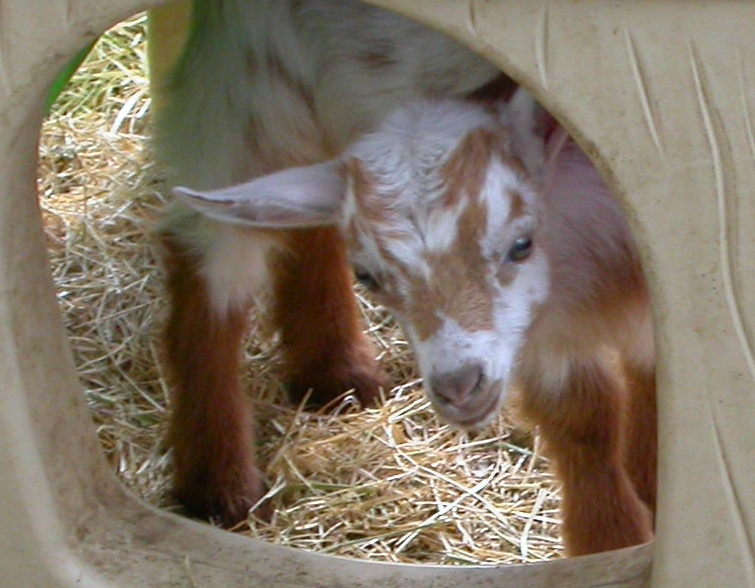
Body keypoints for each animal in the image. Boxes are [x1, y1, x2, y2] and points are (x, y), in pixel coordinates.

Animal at [175, 89, 657, 556]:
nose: (459, 387)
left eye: (522, 244)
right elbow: (584, 419)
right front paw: (613, 541)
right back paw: (221, 485)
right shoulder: (549, 331)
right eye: (366, 275)